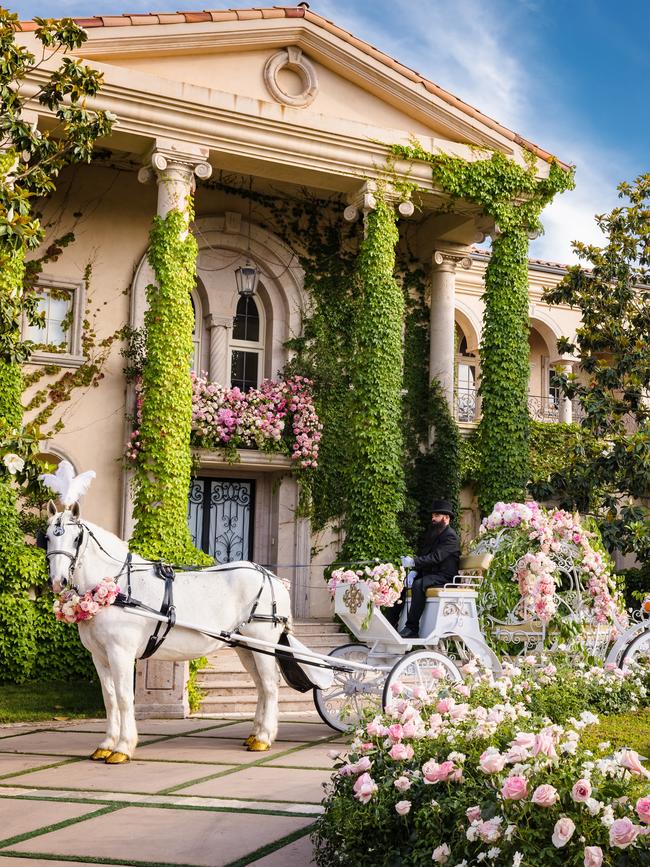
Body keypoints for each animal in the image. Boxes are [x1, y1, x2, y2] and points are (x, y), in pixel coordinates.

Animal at [43, 502, 292, 768]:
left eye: (76, 538)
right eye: (46, 537)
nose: (58, 581)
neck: (116, 588)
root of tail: (273, 577)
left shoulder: (121, 653)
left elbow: (124, 698)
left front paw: (123, 747)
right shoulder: (99, 656)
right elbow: (109, 699)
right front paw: (107, 744)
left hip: (263, 644)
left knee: (270, 685)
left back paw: (264, 737)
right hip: (245, 647)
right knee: (261, 686)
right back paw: (255, 734)